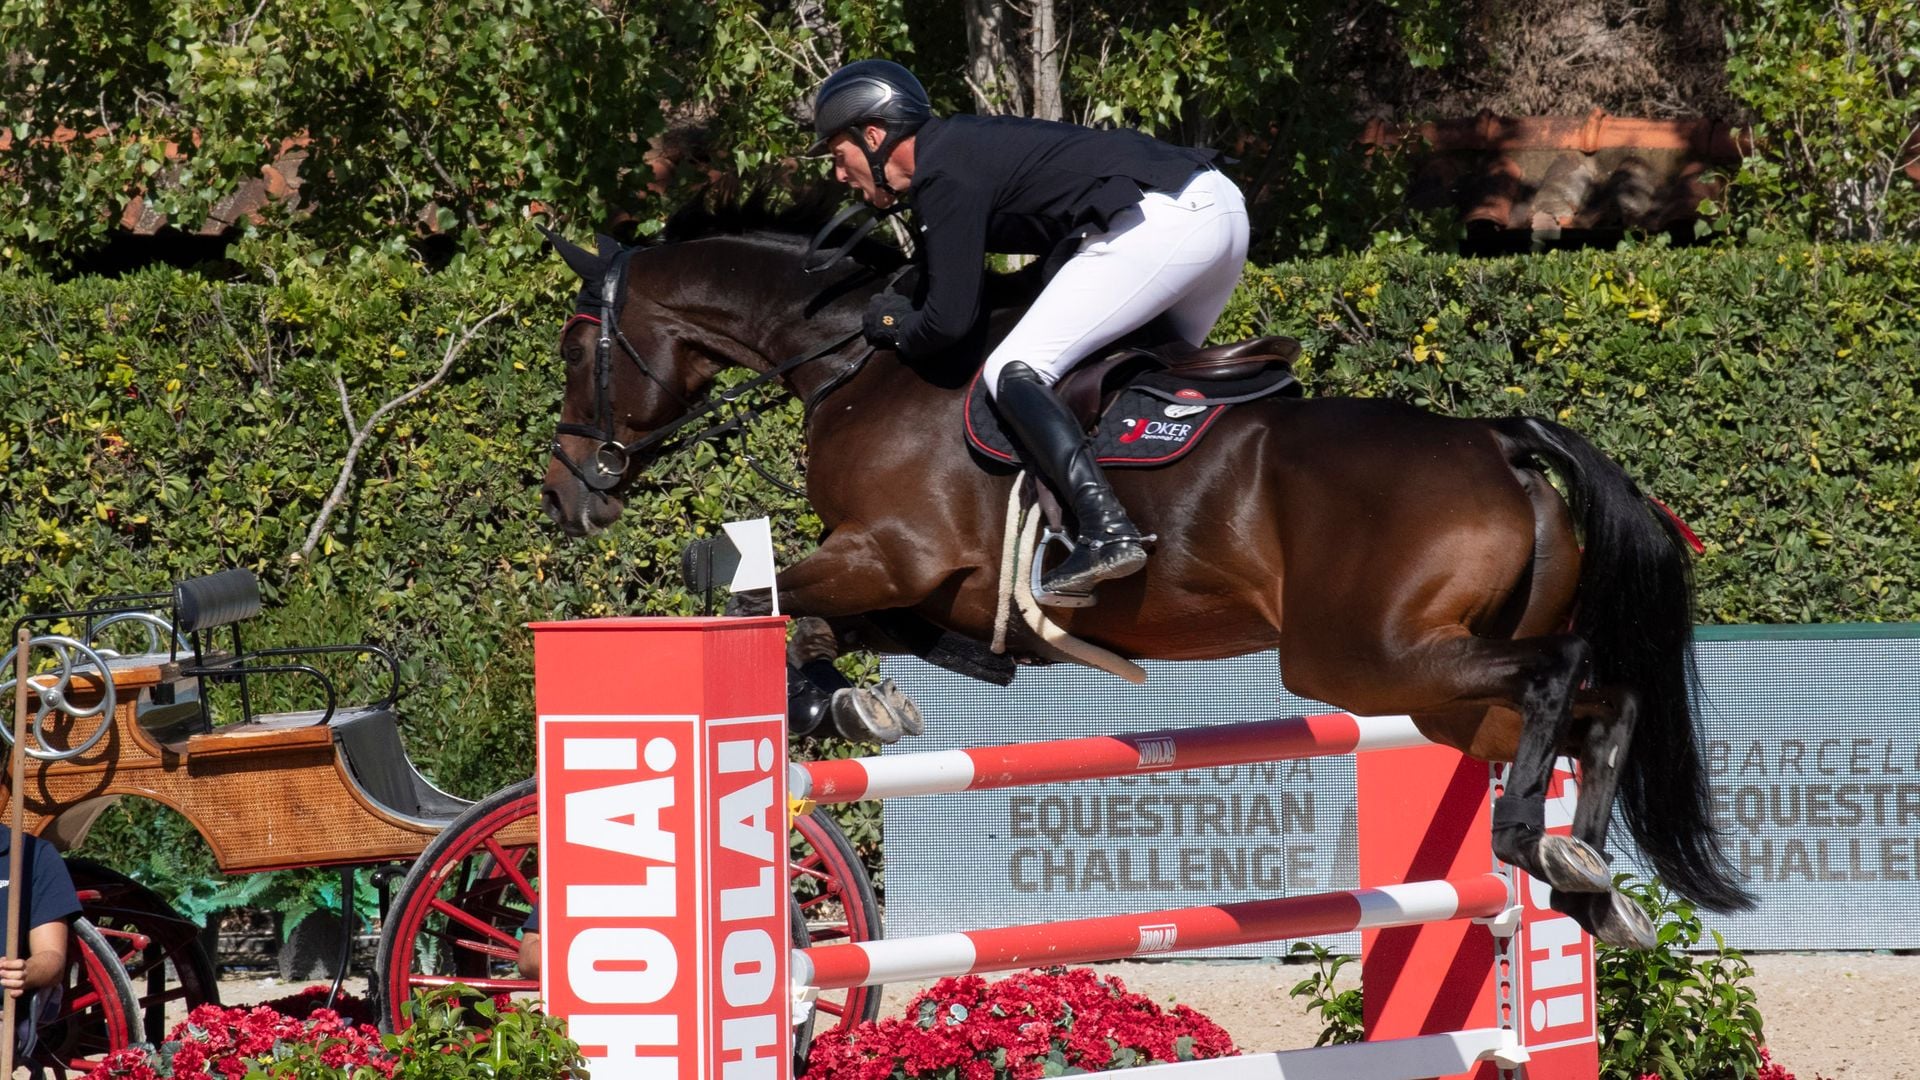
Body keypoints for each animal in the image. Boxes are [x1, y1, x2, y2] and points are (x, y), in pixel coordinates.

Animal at [537, 199, 1758, 941]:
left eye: (572, 343)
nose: (564, 496)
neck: (855, 359)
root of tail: (1498, 441)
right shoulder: (930, 590)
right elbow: (852, 627)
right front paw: (860, 703)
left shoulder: (890, 552)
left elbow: (755, 587)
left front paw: (828, 701)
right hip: (1433, 692)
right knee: (1605, 694)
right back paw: (1583, 874)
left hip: (1365, 660)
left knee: (1563, 670)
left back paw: (1534, 844)